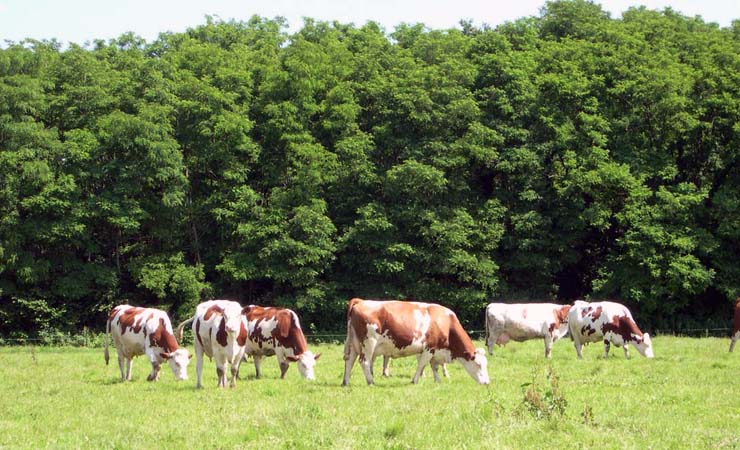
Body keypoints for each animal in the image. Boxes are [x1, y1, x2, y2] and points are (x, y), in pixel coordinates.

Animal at [342, 298, 492, 386]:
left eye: (486, 365)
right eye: (478, 365)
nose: (487, 382)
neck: (446, 322)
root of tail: (361, 301)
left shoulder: (436, 350)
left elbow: (434, 366)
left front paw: (437, 381)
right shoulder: (429, 348)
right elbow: (422, 365)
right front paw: (415, 380)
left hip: (354, 344)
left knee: (349, 361)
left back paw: (346, 382)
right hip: (368, 343)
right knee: (364, 362)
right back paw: (370, 381)